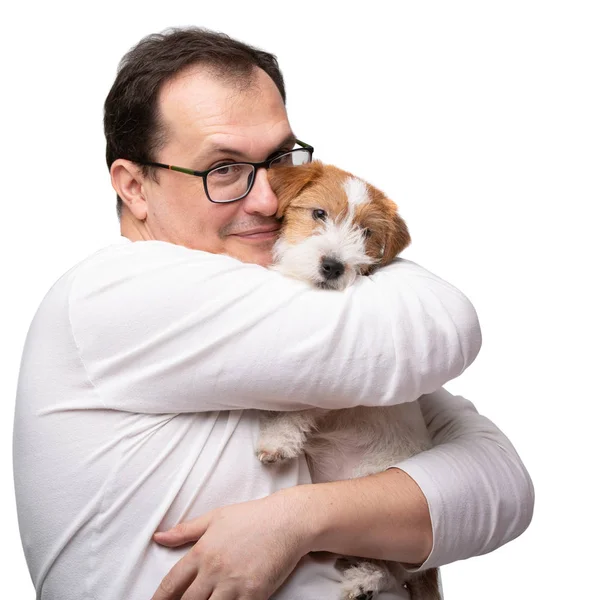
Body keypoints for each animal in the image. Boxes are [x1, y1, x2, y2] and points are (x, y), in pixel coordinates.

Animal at [256, 162, 440, 600]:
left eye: (367, 233)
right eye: (319, 213)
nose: (333, 266)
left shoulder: (339, 382)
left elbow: (301, 404)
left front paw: (277, 440)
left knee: (387, 568)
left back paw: (363, 583)